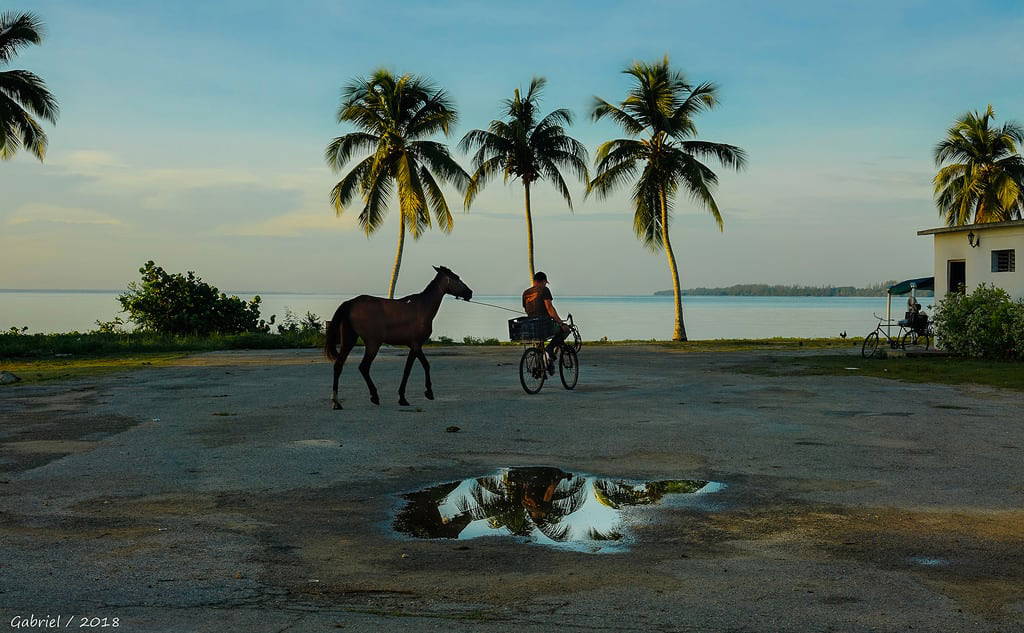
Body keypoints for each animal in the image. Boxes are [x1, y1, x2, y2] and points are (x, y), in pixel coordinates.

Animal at [325, 264, 473, 409]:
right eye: (456, 278)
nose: (470, 292)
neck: (422, 307)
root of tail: (351, 303)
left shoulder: (413, 347)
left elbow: (407, 370)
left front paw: (402, 397)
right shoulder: (417, 345)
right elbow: (426, 365)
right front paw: (429, 392)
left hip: (349, 341)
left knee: (338, 366)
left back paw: (336, 401)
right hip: (373, 344)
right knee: (364, 367)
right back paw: (374, 396)